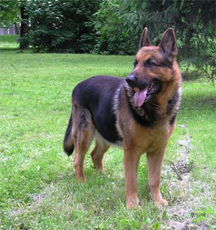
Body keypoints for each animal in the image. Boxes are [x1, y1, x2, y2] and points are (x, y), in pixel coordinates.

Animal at [63, 27, 181, 209]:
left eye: (150, 63)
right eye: (135, 63)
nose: (129, 80)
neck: (155, 108)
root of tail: (77, 86)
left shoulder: (157, 151)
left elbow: (154, 179)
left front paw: (156, 200)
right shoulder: (131, 152)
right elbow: (131, 181)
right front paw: (133, 205)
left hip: (106, 134)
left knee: (95, 155)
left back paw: (103, 178)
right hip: (85, 135)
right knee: (78, 159)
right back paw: (81, 182)